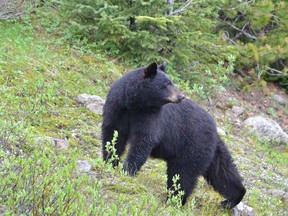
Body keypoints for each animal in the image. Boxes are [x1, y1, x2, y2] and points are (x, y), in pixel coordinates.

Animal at [101, 61, 245, 208]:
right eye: (167, 84)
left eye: (171, 82)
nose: (181, 96)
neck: (134, 104)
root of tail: (215, 132)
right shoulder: (117, 107)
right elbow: (113, 134)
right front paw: (110, 161)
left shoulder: (150, 117)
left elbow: (143, 141)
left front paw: (127, 169)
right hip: (208, 151)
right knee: (222, 172)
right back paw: (231, 199)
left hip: (192, 148)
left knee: (183, 174)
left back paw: (174, 199)